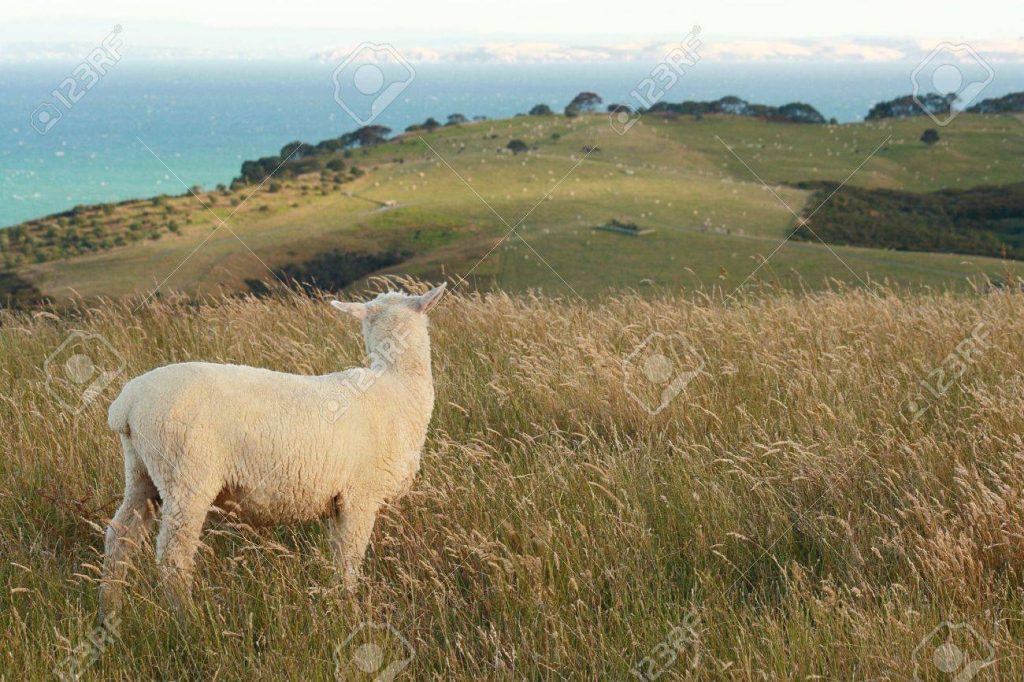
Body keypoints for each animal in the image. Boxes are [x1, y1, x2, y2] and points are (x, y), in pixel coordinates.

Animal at [97, 278, 446, 618]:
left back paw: (110, 611)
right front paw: (350, 610)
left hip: (142, 474)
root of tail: (127, 404)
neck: (397, 385)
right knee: (173, 555)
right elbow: (349, 561)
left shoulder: (338, 501)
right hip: (186, 477)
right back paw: (188, 618)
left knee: (119, 538)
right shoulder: (359, 496)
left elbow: (338, 557)